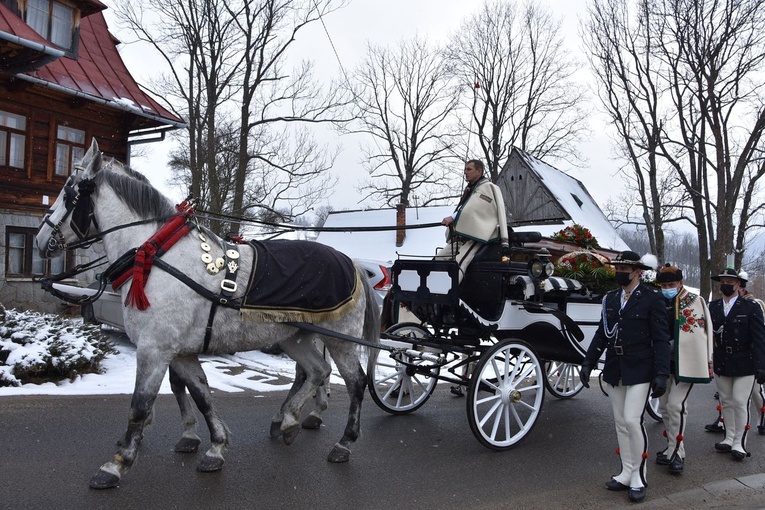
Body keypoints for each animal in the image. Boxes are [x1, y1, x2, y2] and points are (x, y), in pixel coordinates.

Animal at [37, 139, 378, 490]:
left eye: (68, 190)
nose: (40, 239)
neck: (158, 254)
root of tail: (352, 263)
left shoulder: (154, 349)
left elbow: (140, 404)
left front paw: (117, 464)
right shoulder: (181, 352)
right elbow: (202, 395)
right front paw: (215, 446)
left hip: (341, 340)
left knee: (355, 382)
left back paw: (343, 442)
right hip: (295, 337)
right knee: (316, 371)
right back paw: (288, 421)